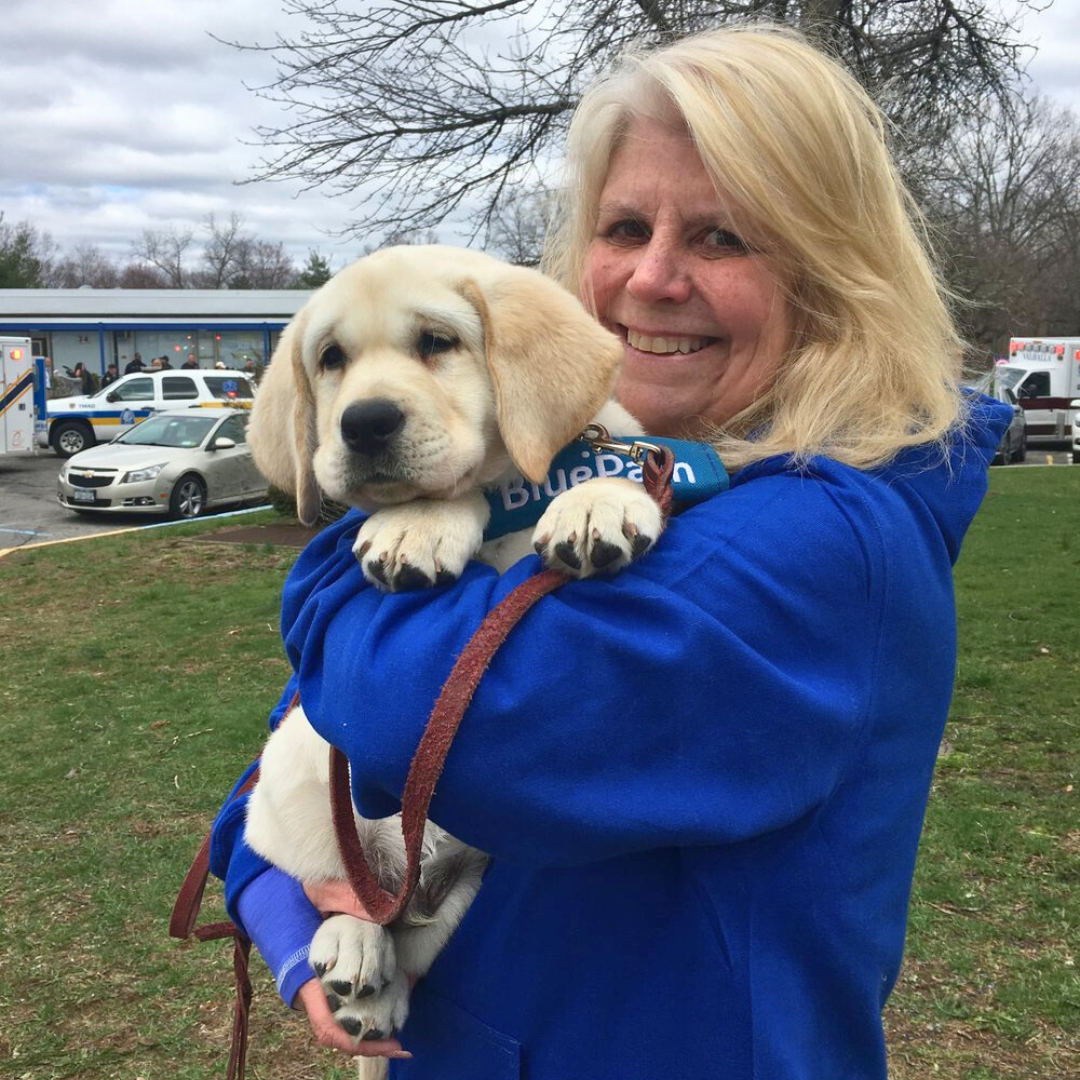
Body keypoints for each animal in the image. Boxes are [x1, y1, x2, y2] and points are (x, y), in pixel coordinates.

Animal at [244, 245, 660, 1062]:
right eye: (331, 359)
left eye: (437, 342)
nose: (365, 423)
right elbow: (445, 495)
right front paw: (420, 522)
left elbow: (608, 468)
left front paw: (599, 499)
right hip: (294, 774)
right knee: (353, 898)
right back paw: (355, 956)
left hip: (478, 875)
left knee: (416, 940)